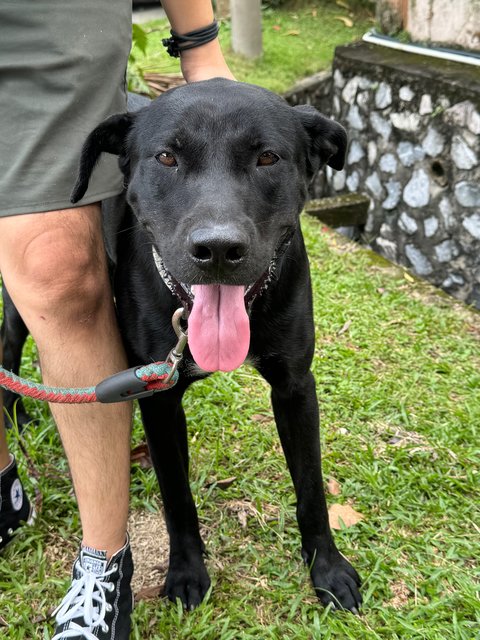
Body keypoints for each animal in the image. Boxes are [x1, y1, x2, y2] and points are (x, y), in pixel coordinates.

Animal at [1, 79, 362, 608]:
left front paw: (328, 568)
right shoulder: (157, 398)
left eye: (268, 157)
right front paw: (187, 571)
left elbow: (311, 487)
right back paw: (17, 418)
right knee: (8, 348)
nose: (218, 250)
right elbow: (177, 495)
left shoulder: (295, 386)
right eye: (167, 157)